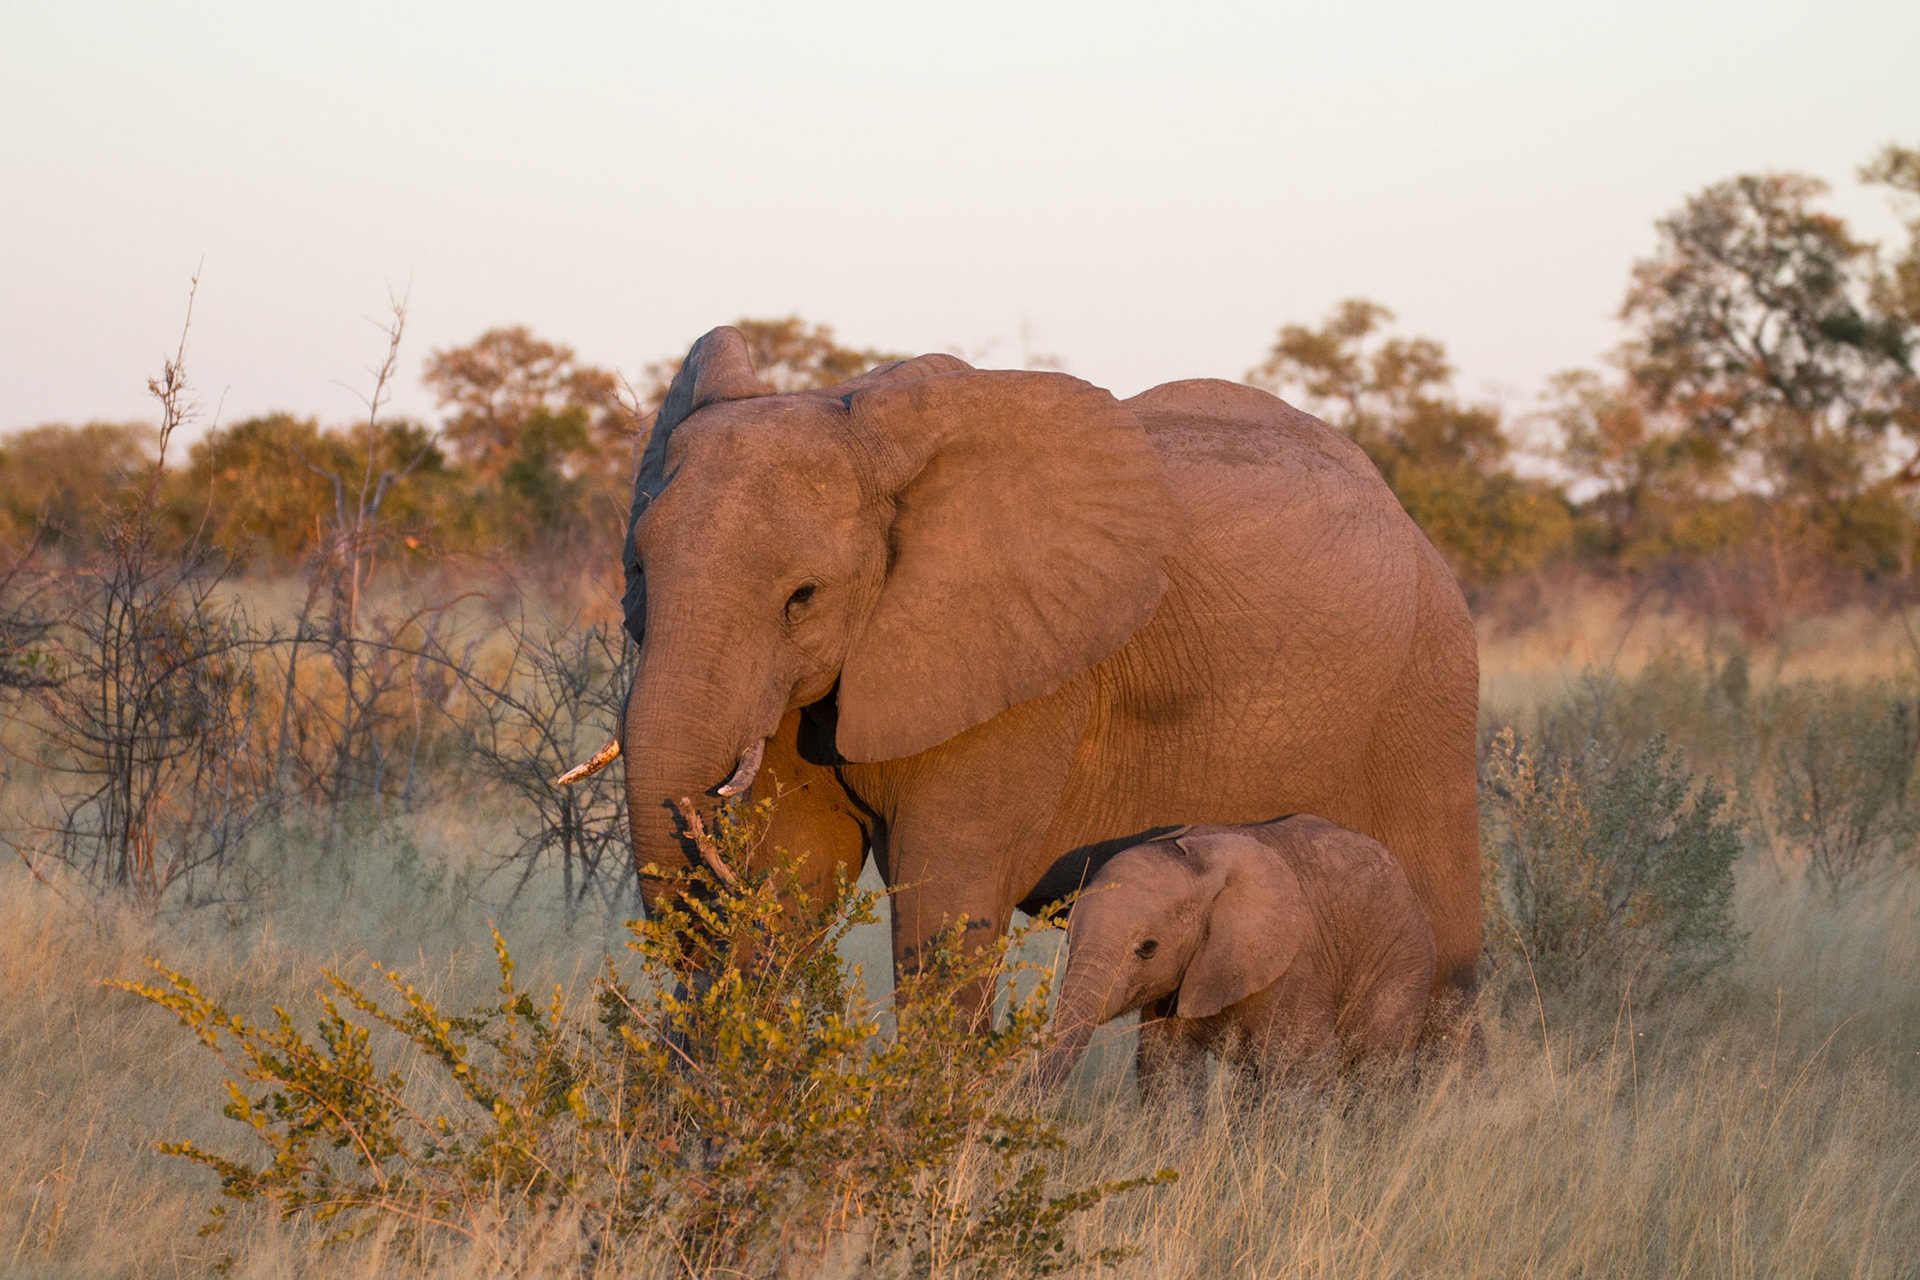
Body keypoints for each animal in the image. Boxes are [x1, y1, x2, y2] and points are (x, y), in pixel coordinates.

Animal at [561, 326, 1480, 1015]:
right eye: (636, 570)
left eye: (803, 597)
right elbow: (792, 885)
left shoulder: (1021, 677)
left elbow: (945, 911)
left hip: (1428, 681)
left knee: (1443, 936)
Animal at [1032, 816, 1436, 1094]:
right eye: (1067, 939)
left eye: (1147, 949)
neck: (1200, 867)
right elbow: (1168, 1070)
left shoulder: (1295, 965)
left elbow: (1300, 1072)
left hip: (1402, 958)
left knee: (1377, 1070)